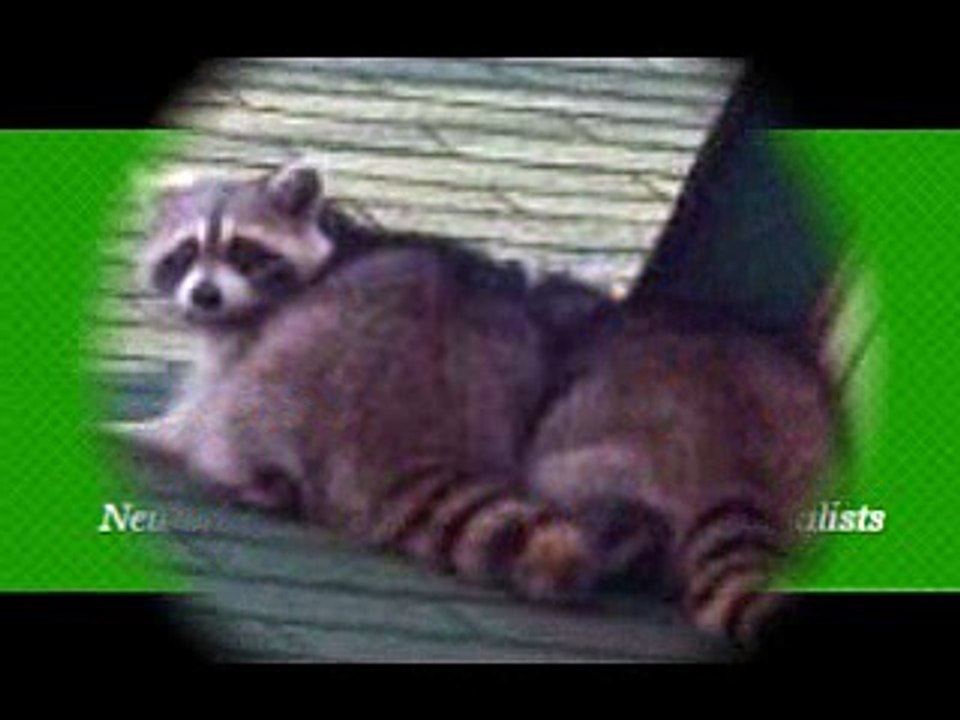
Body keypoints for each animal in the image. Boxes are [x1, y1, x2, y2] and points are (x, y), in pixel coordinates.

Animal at [116, 161, 604, 602]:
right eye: (186, 252)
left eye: (242, 250)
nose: (205, 295)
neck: (333, 240)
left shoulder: (253, 331)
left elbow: (209, 394)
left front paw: (156, 432)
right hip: (508, 357)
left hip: (306, 370)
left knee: (242, 402)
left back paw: (243, 474)